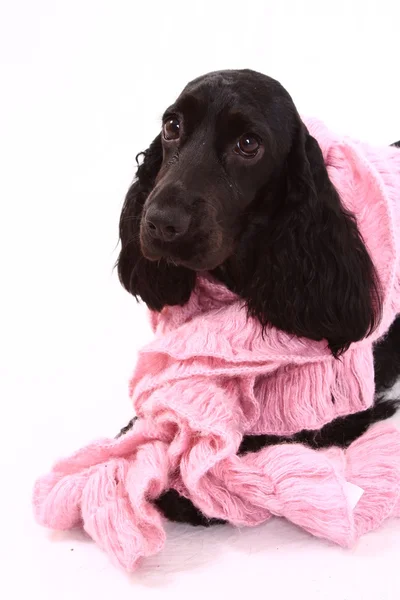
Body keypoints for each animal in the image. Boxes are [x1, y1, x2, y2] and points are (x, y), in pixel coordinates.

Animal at [116, 71, 400, 524]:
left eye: (248, 144)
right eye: (172, 125)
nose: (160, 222)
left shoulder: (339, 407)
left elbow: (251, 437)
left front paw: (182, 489)